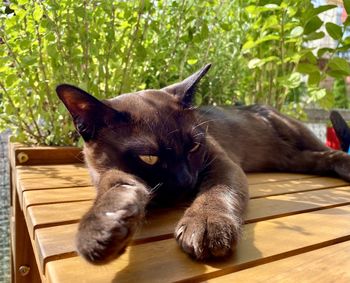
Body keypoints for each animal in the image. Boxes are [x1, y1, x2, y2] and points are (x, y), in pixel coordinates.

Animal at [56, 64, 350, 264]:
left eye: (194, 147)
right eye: (149, 157)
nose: (186, 181)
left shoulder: (222, 164)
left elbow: (217, 191)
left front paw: (206, 224)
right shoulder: (106, 173)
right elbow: (115, 187)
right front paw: (103, 227)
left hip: (299, 134)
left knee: (329, 152)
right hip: (291, 158)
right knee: (322, 159)